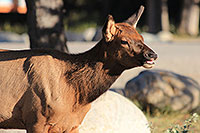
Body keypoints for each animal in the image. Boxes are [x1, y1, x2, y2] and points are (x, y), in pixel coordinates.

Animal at [0, 5, 156, 133]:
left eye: (141, 37)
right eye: (123, 41)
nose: (152, 55)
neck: (76, 96)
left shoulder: (72, 124)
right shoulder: (36, 118)